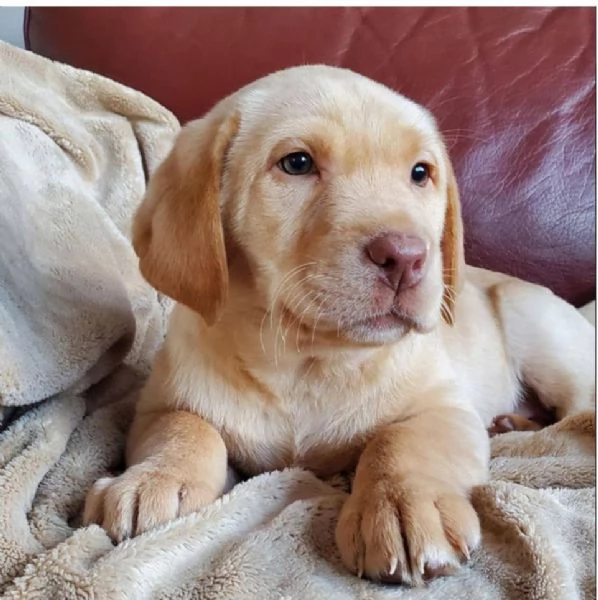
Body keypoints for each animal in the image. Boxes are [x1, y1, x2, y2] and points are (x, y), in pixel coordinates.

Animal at [83, 65, 596, 584]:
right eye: (296, 163)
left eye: (420, 173)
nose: (406, 257)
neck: (308, 361)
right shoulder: (158, 405)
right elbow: (185, 427)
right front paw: (154, 479)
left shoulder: (445, 408)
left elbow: (401, 440)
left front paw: (402, 505)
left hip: (536, 324)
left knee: (579, 414)